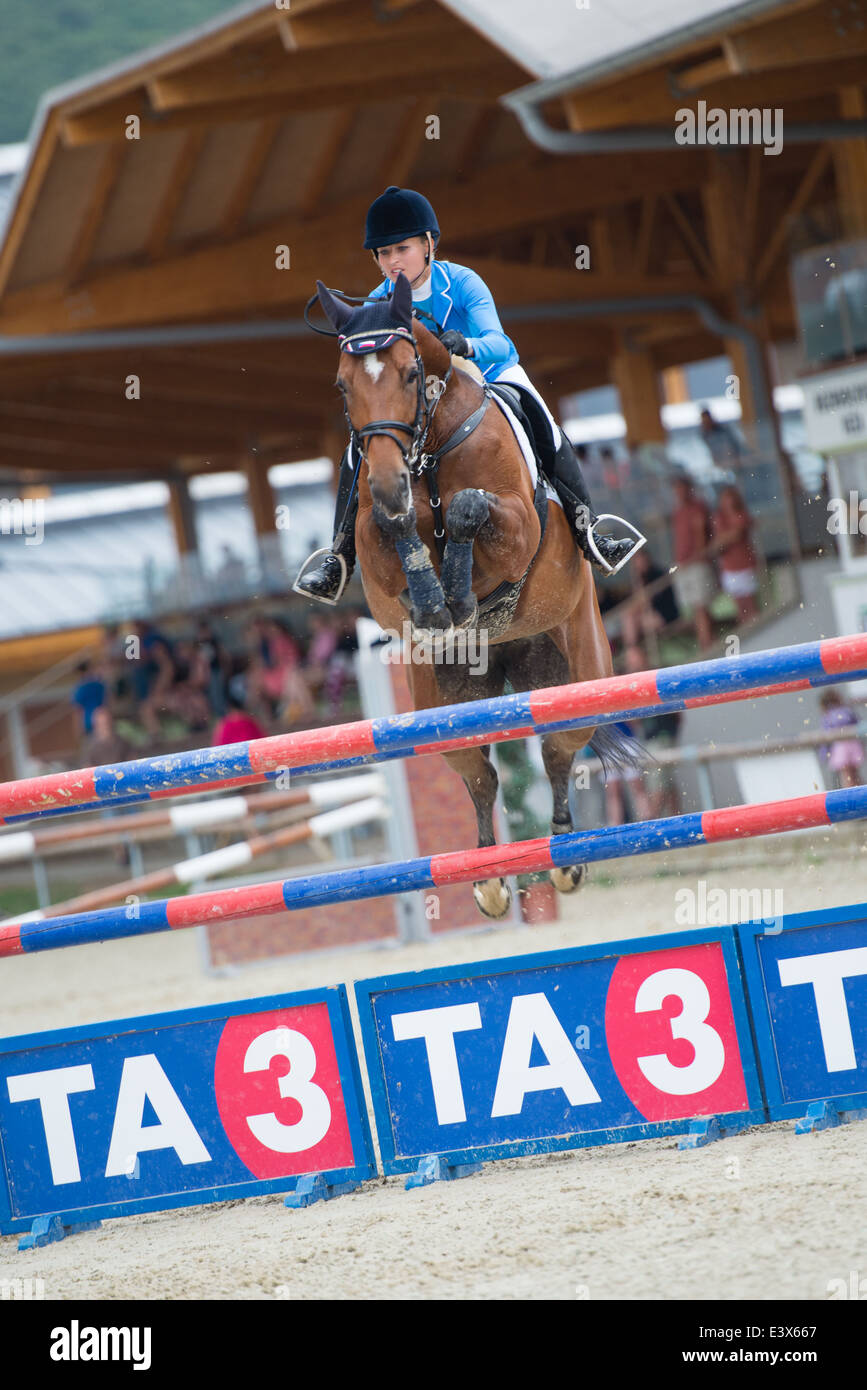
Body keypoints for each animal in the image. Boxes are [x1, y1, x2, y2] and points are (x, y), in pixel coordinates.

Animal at [315, 272, 633, 922]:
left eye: (410, 375)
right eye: (342, 384)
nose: (388, 483)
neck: (429, 447)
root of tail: (506, 656)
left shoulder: (517, 528)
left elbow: (467, 509)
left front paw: (457, 598)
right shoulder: (378, 559)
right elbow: (390, 530)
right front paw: (435, 601)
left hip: (577, 674)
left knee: (557, 750)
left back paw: (564, 860)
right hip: (447, 701)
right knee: (481, 774)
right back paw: (487, 879)